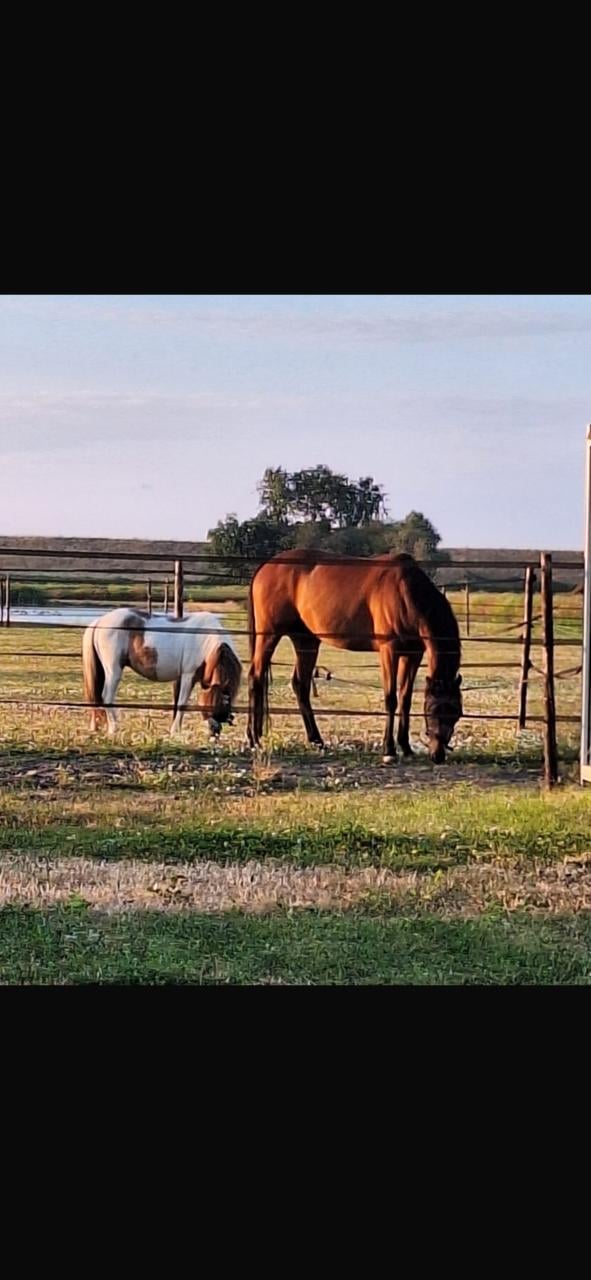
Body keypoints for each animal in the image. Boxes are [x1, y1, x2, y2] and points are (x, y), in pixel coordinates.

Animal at [82, 607, 242, 738]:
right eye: (220, 703)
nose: (215, 733)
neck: (206, 639)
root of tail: (100, 621)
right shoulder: (187, 676)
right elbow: (182, 704)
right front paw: (175, 731)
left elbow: (178, 703)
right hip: (113, 670)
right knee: (107, 696)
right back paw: (114, 728)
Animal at [246, 550, 462, 764]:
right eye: (432, 710)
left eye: (456, 714)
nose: (438, 755)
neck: (405, 593)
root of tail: (265, 566)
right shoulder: (389, 651)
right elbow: (391, 699)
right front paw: (389, 750)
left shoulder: (413, 654)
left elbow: (405, 699)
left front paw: (406, 747)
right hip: (269, 634)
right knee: (256, 677)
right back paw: (254, 739)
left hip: (306, 641)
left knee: (301, 685)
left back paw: (317, 741)